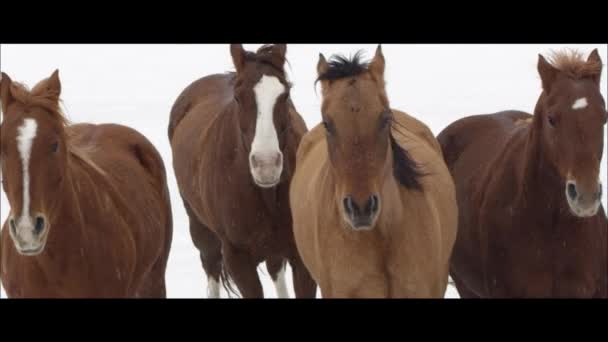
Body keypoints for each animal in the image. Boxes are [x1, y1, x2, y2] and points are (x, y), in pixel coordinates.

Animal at [169, 44, 316, 298]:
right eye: (238, 97)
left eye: (285, 94)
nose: (266, 164)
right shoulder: (238, 260)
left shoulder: (301, 257)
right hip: (200, 229)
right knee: (211, 266)